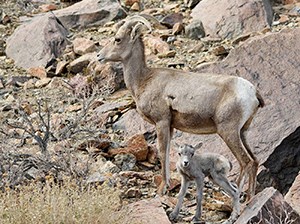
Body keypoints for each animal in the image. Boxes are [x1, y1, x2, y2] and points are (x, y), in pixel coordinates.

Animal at [97, 15, 264, 197]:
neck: (143, 80)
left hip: (228, 132)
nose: (99, 56)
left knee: (245, 162)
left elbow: (163, 152)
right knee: (254, 161)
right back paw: (249, 198)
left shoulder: (162, 122)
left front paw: (162, 189)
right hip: (242, 132)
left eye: (117, 39)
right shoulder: (170, 126)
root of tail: (252, 92)